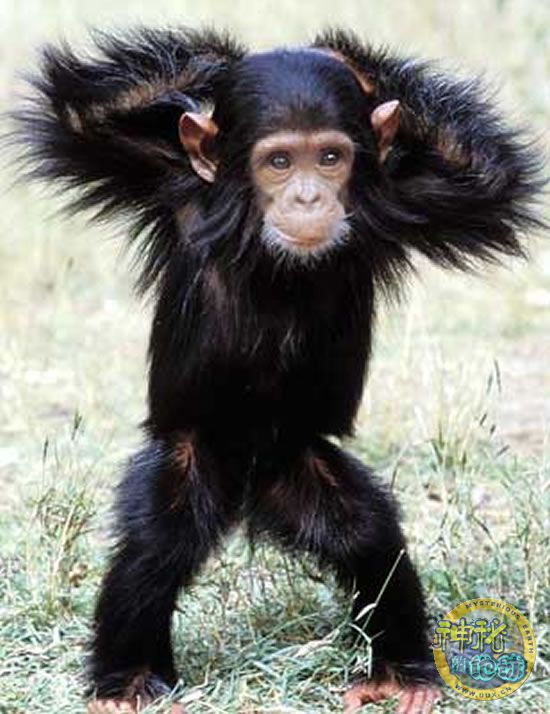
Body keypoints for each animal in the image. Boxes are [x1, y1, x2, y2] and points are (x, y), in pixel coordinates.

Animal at [11, 26, 544, 714]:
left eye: (330, 157)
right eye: (280, 162)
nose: (308, 196)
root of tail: (250, 491)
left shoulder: (411, 198)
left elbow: (488, 172)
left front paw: (349, 66)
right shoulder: (160, 179)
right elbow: (81, 111)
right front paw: (229, 70)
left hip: (303, 464)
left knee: (366, 535)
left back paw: (399, 672)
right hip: (193, 454)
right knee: (155, 548)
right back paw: (125, 680)